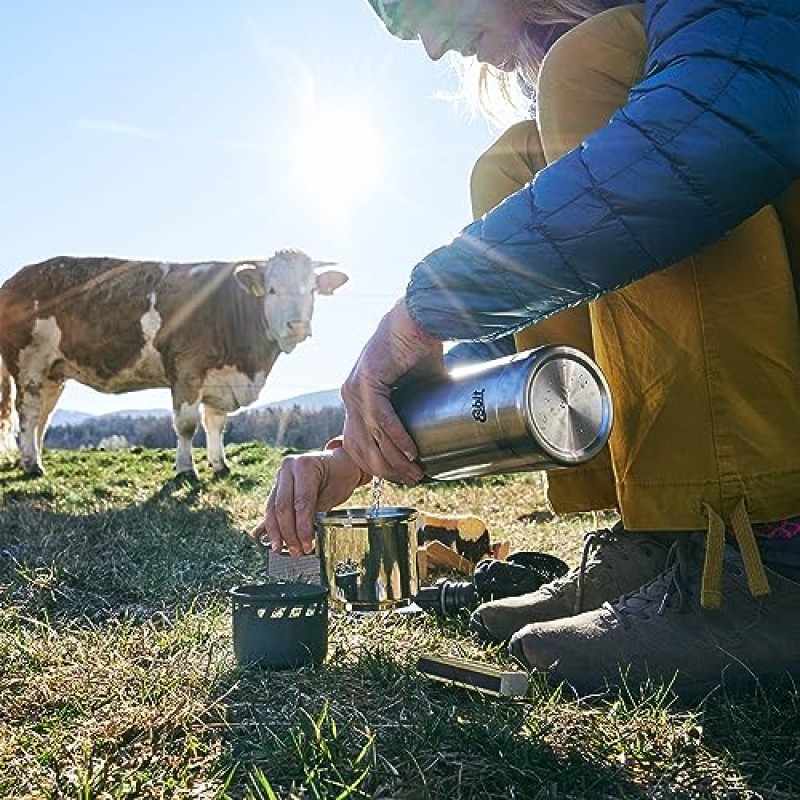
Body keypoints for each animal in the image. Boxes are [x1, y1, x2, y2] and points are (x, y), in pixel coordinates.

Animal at [0, 250, 346, 476]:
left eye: (312, 290)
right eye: (272, 290)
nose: (297, 326)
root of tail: (16, 278)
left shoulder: (221, 379)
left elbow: (216, 423)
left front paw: (220, 464)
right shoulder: (187, 369)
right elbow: (187, 425)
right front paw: (185, 470)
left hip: (54, 371)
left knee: (42, 417)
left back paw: (32, 457)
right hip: (29, 363)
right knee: (28, 412)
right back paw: (32, 465)